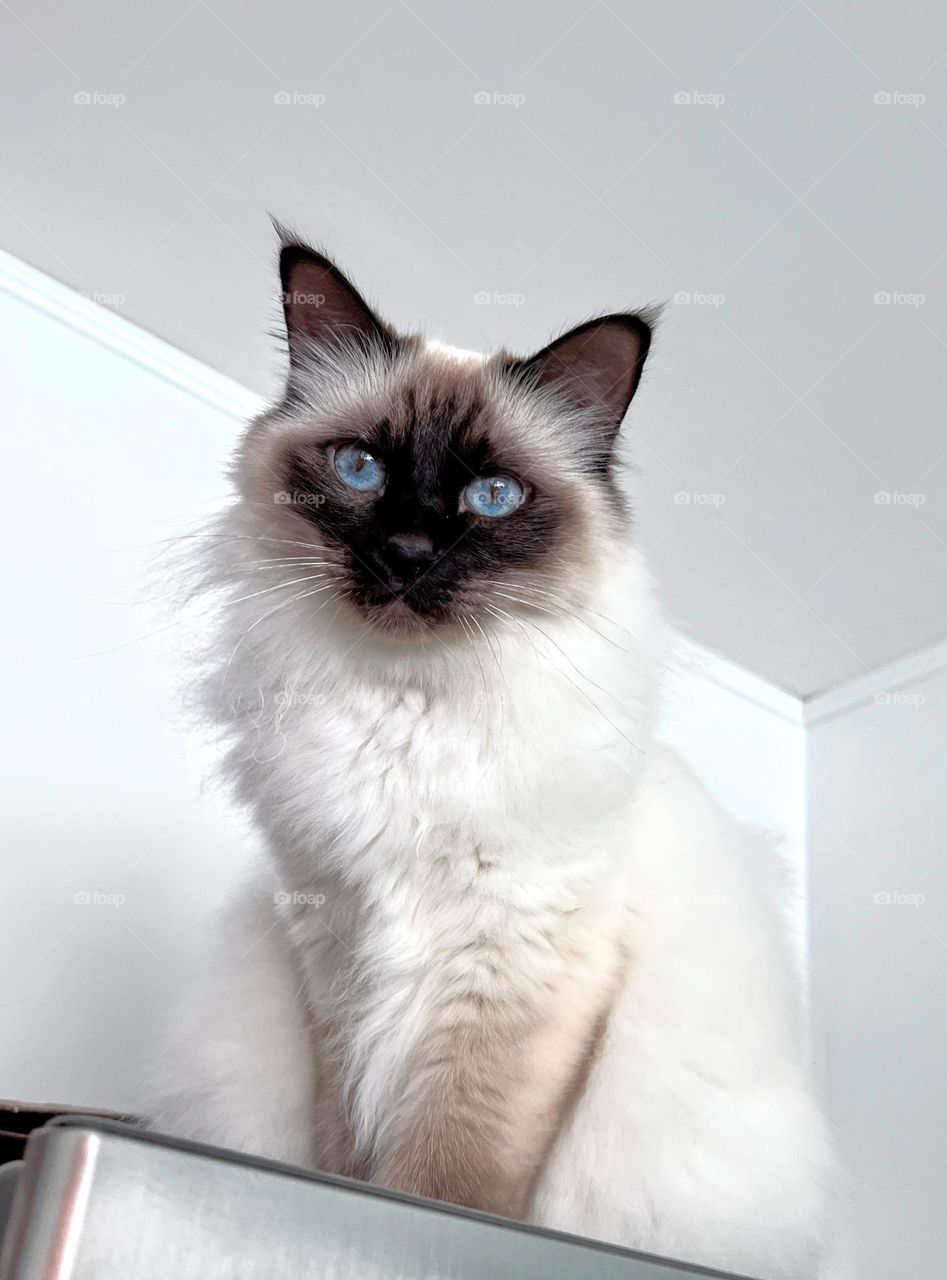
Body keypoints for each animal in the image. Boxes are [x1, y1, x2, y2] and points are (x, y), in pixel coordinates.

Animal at [151, 235, 839, 1274]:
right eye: (360, 468)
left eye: (492, 497)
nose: (405, 551)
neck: (410, 709)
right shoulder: (337, 954)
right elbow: (347, 1151)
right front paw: (346, 1199)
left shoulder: (515, 960)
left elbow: (451, 1173)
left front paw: (419, 1217)